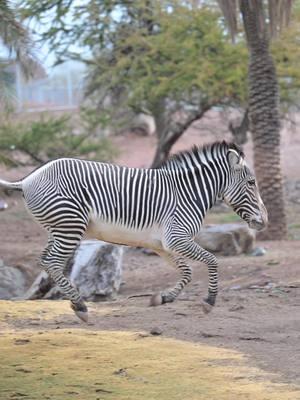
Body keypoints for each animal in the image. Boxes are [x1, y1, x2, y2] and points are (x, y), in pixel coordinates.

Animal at [0, 141, 268, 322]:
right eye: (252, 183)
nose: (264, 222)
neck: (188, 194)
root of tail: (27, 180)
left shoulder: (162, 245)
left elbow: (187, 271)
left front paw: (164, 298)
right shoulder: (176, 238)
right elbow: (212, 261)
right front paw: (209, 301)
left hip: (57, 228)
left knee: (45, 259)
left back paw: (76, 304)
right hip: (70, 226)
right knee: (54, 261)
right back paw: (81, 306)